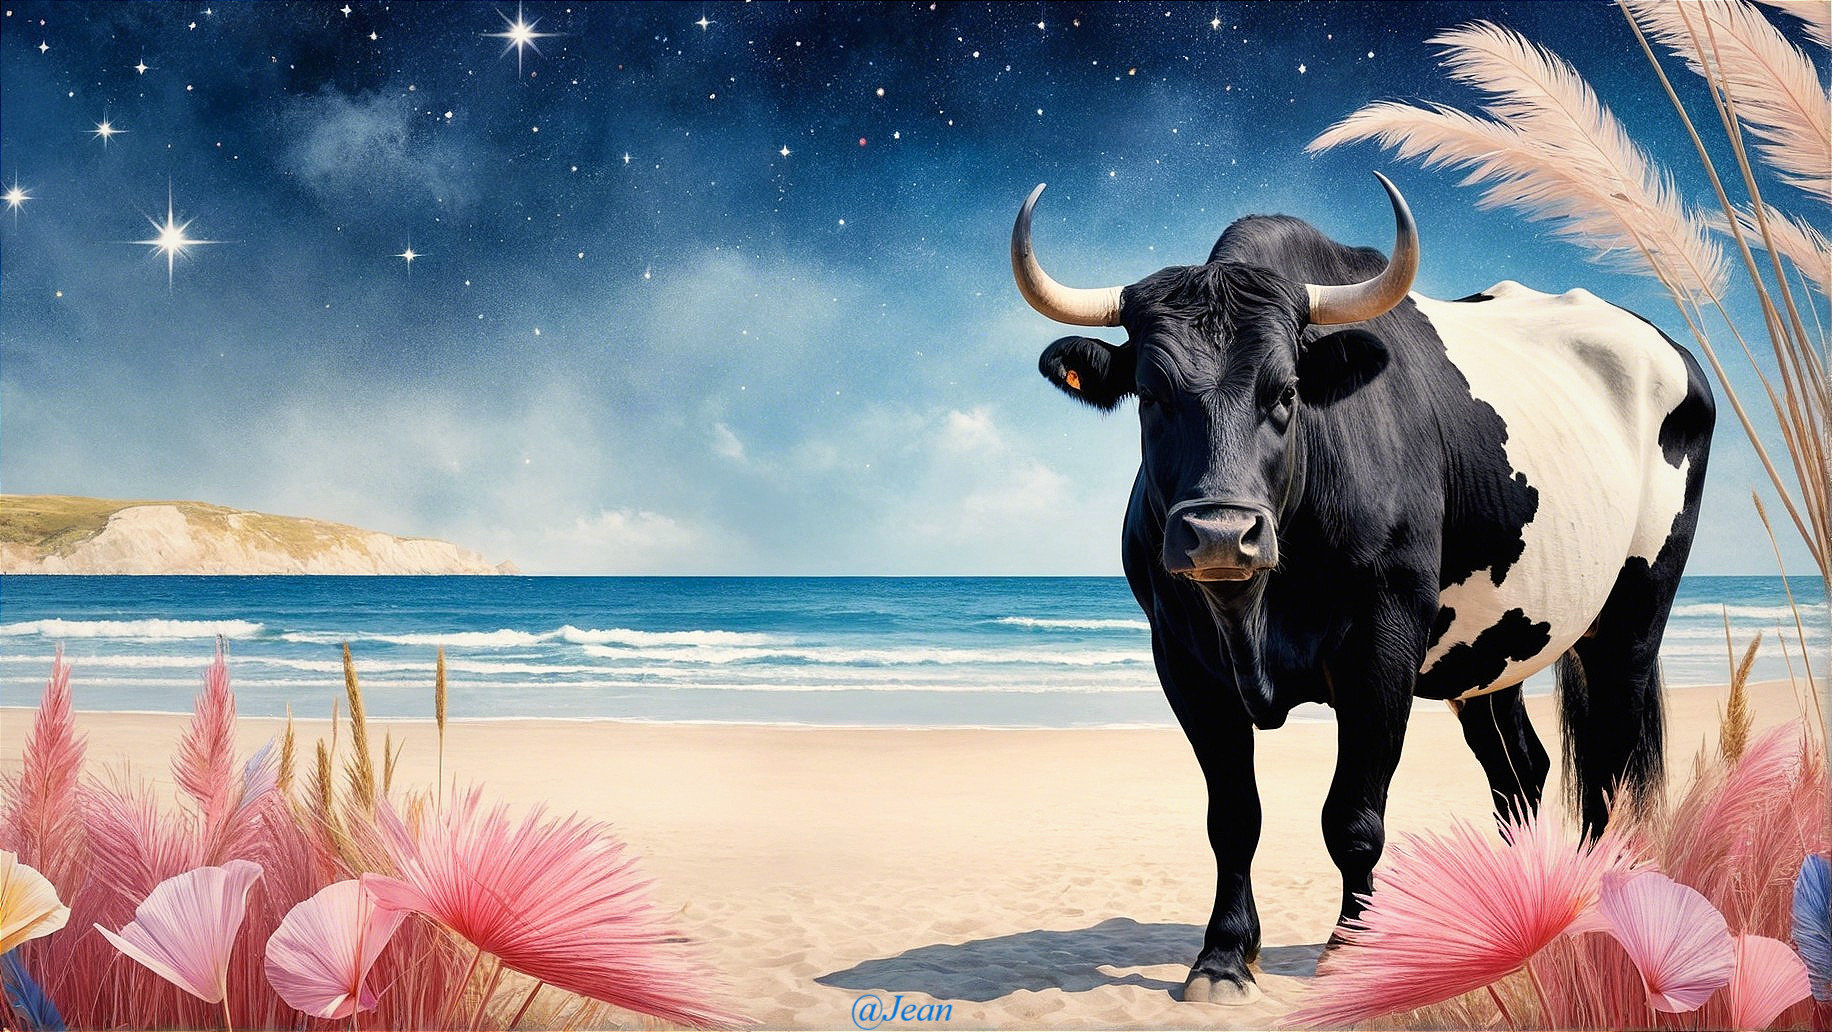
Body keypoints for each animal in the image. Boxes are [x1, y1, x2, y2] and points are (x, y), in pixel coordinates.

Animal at [1011, 173, 1713, 1004]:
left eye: (1286, 393)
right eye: (1151, 394)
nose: (1220, 533)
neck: (1257, 612)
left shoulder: (1383, 644)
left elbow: (1353, 814)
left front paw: (1352, 951)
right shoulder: (1183, 658)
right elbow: (1233, 816)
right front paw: (1224, 956)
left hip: (1632, 620)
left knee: (1609, 766)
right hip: (1493, 652)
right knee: (1523, 770)